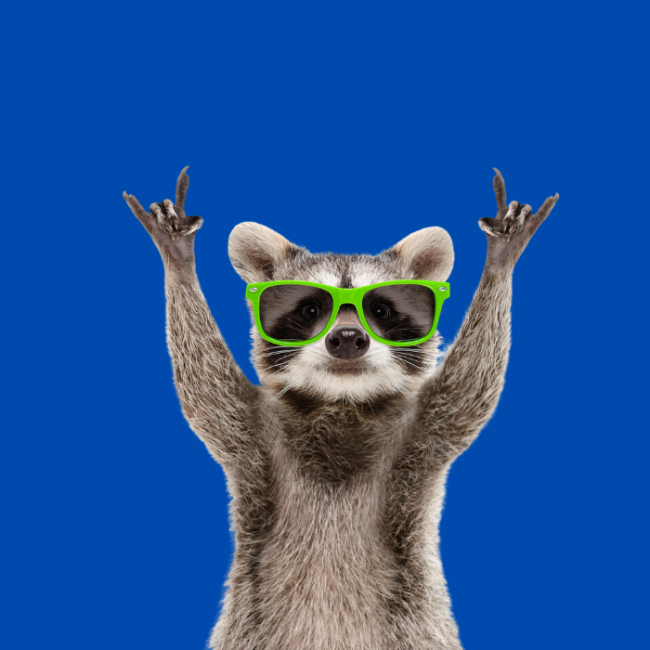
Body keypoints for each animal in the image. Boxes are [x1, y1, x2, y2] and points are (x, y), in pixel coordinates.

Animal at [124, 167, 558, 650]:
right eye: (311, 308)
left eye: (381, 310)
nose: (348, 338)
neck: (340, 401)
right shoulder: (252, 433)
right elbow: (204, 388)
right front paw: (179, 263)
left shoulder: (422, 432)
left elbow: (471, 388)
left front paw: (499, 264)